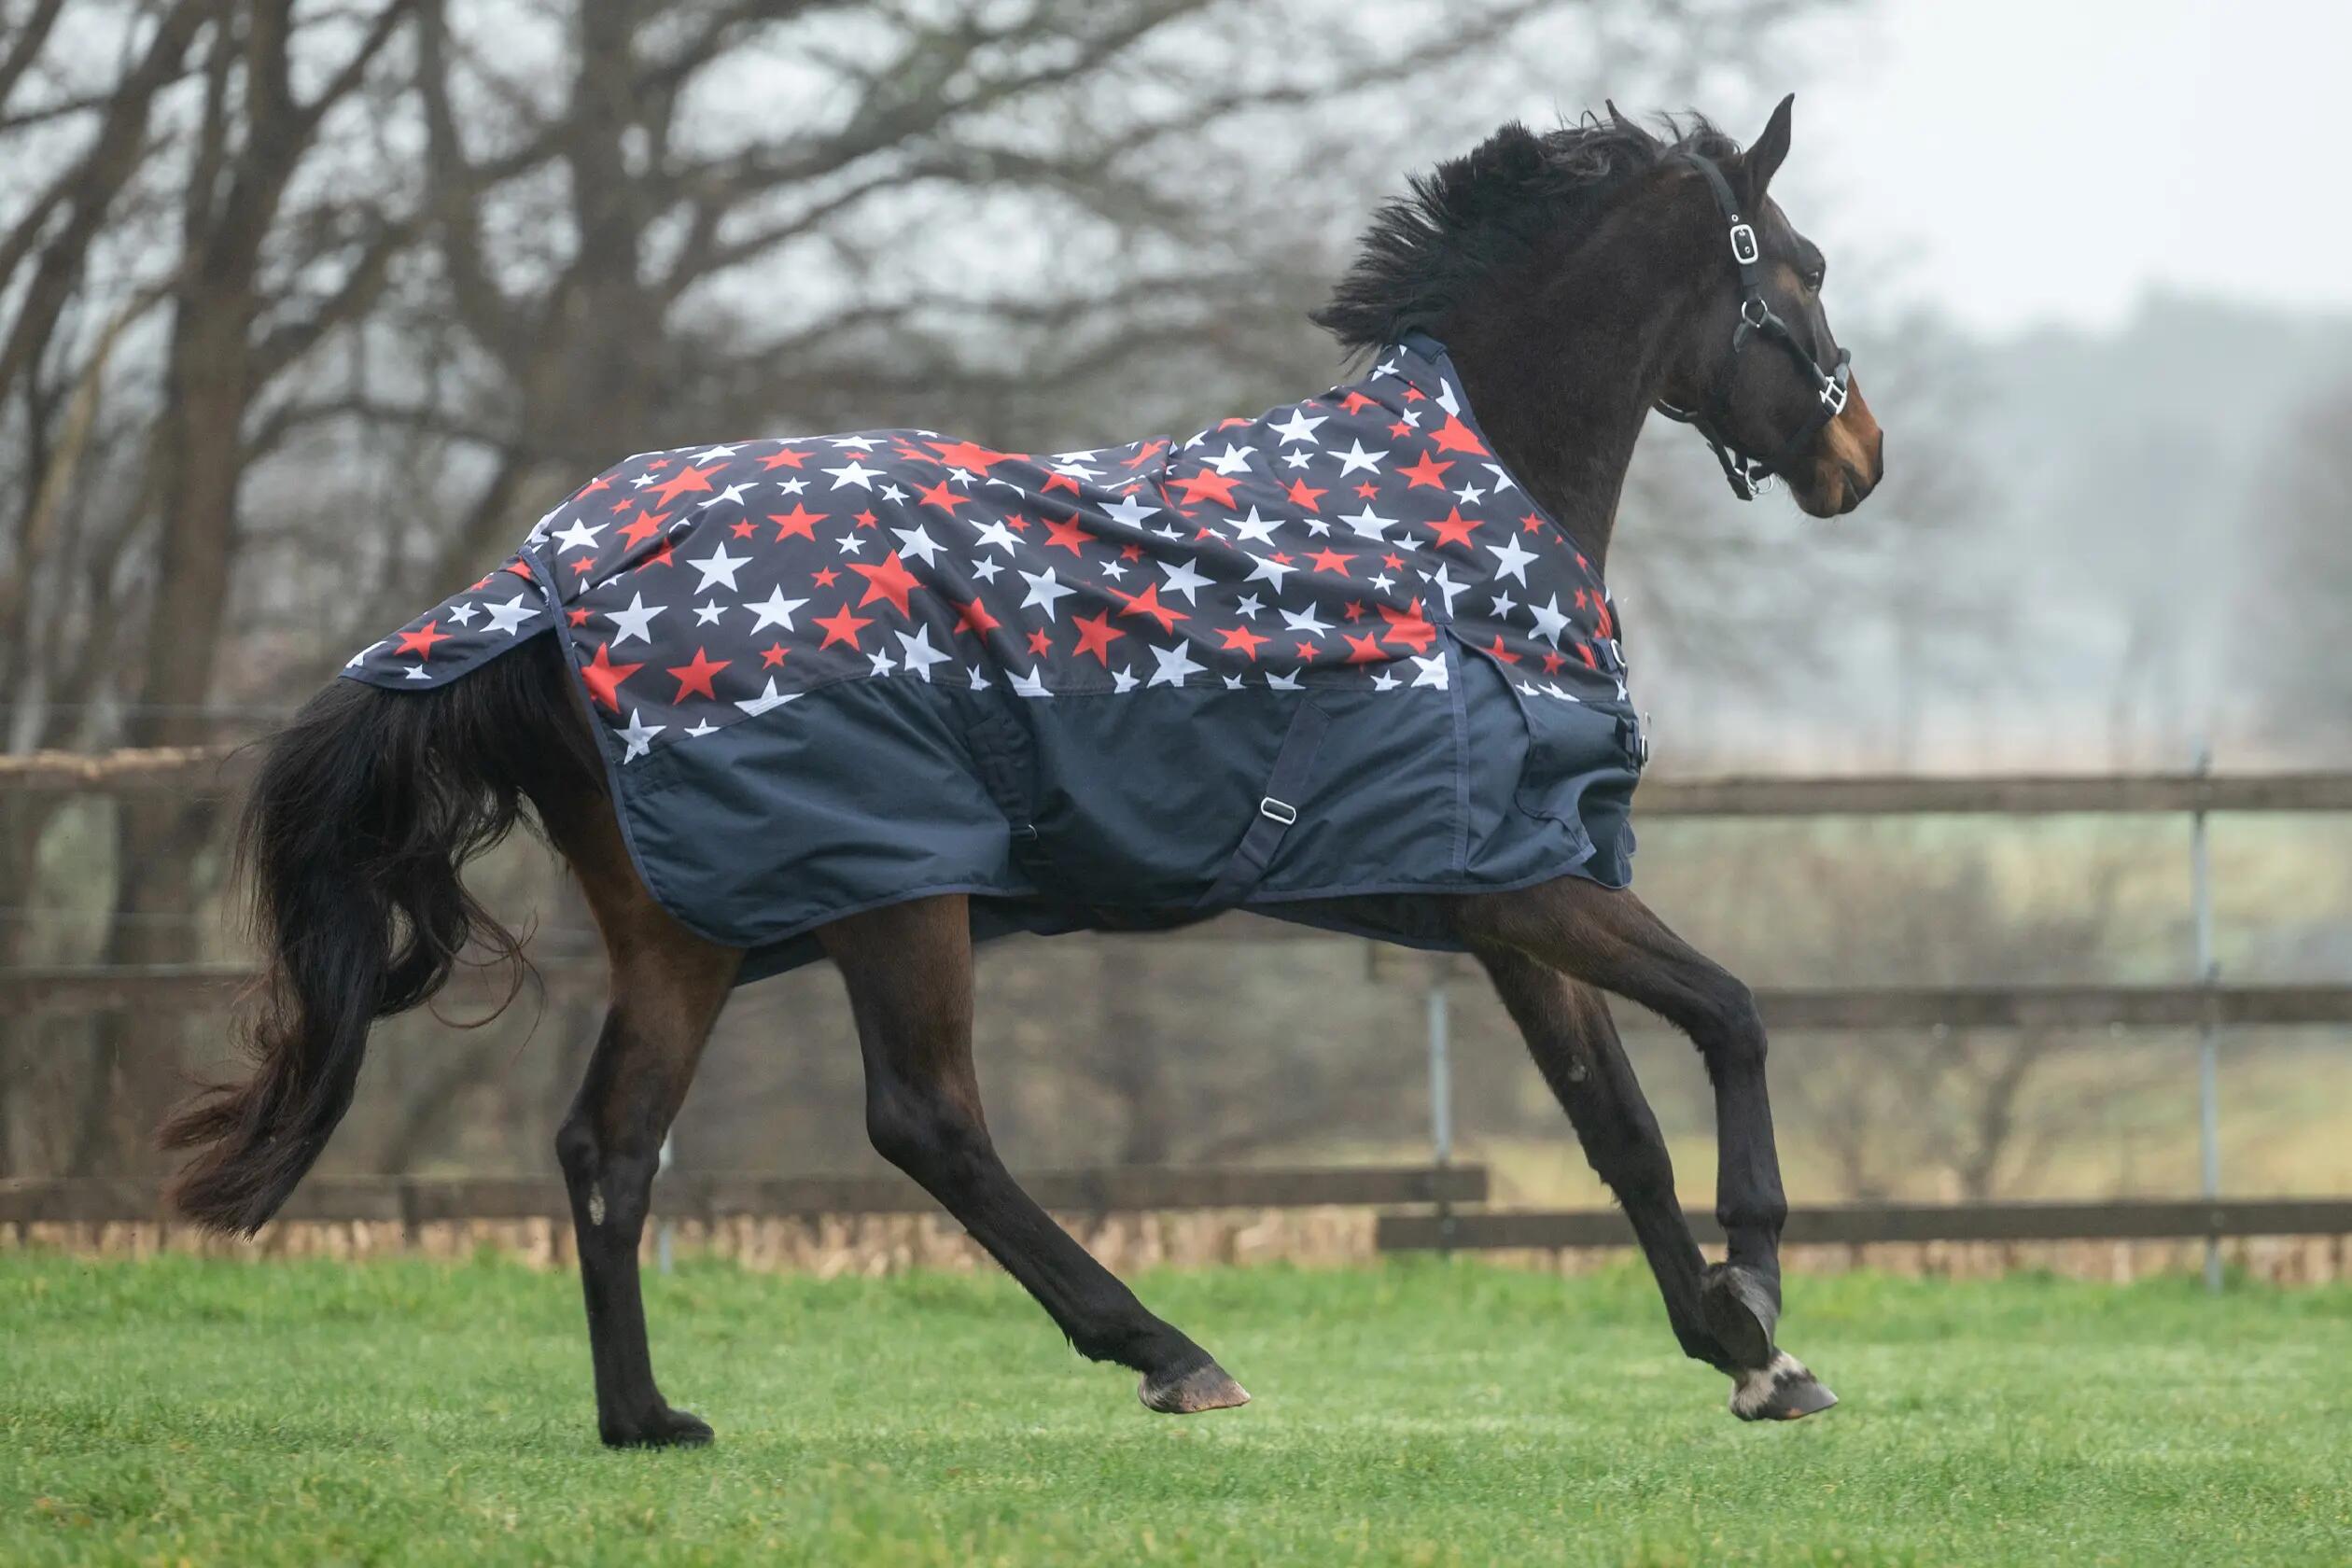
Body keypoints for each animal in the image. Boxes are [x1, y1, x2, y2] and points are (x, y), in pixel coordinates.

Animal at [161, 96, 1884, 1447]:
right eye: (1797, 267)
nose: (1860, 459)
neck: (1442, 518)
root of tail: (551, 577)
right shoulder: (1528, 887)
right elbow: (1731, 1019)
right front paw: (1760, 1289)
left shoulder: (1497, 894)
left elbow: (1617, 1126)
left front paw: (1744, 1352)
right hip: (892, 893)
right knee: (926, 1124)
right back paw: (1167, 1352)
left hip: (690, 930)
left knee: (610, 1147)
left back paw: (647, 1418)